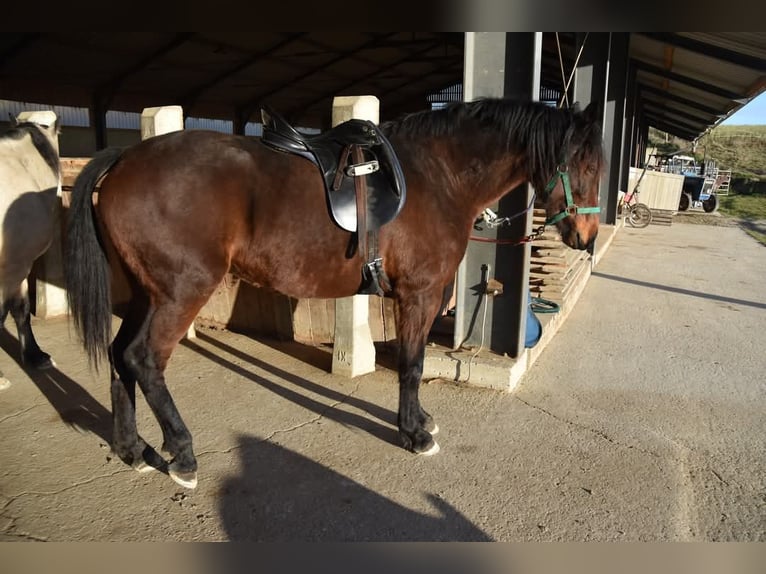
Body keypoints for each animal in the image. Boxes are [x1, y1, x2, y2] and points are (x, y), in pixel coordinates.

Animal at [64, 99, 608, 490]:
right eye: (582, 166)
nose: (586, 237)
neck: (438, 176)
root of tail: (126, 158)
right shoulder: (419, 294)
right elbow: (412, 365)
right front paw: (414, 434)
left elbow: (412, 363)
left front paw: (420, 422)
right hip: (179, 294)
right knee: (145, 360)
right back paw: (182, 455)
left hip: (147, 293)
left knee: (120, 355)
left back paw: (132, 450)